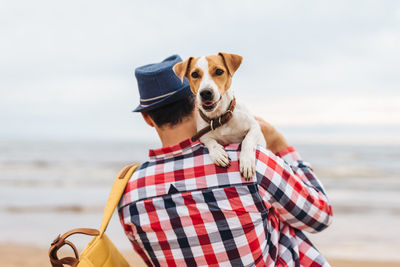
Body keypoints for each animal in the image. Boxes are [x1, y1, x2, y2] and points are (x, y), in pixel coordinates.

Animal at [173, 51, 264, 180]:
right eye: (194, 74)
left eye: (219, 71)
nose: (205, 93)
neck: (219, 117)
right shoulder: (202, 135)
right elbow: (210, 141)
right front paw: (218, 153)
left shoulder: (255, 127)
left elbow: (248, 140)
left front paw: (246, 161)